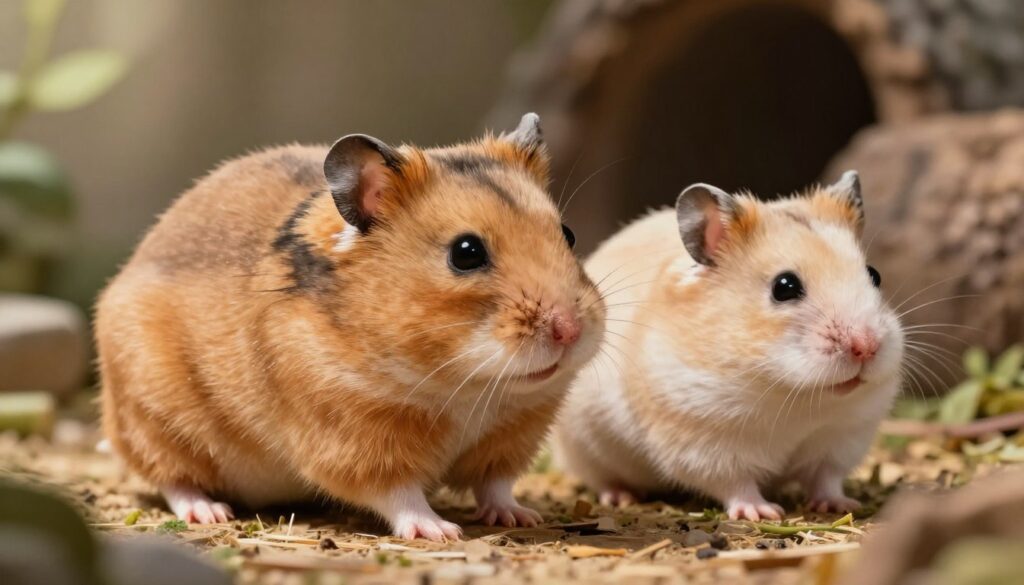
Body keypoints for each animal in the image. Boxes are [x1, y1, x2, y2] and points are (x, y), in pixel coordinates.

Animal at [96, 114, 605, 540]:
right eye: (466, 253)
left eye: (568, 234)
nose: (569, 330)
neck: (465, 387)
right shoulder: (354, 439)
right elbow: (399, 494)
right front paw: (441, 532)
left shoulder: (512, 434)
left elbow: (496, 484)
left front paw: (522, 517)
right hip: (156, 419)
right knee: (172, 477)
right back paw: (210, 512)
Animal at [553, 172, 903, 520]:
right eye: (785, 287)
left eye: (874, 275)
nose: (867, 346)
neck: (796, 397)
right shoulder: (706, 442)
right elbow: (736, 483)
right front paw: (762, 513)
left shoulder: (842, 437)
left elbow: (826, 479)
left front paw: (842, 505)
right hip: (582, 445)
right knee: (601, 478)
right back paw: (620, 497)